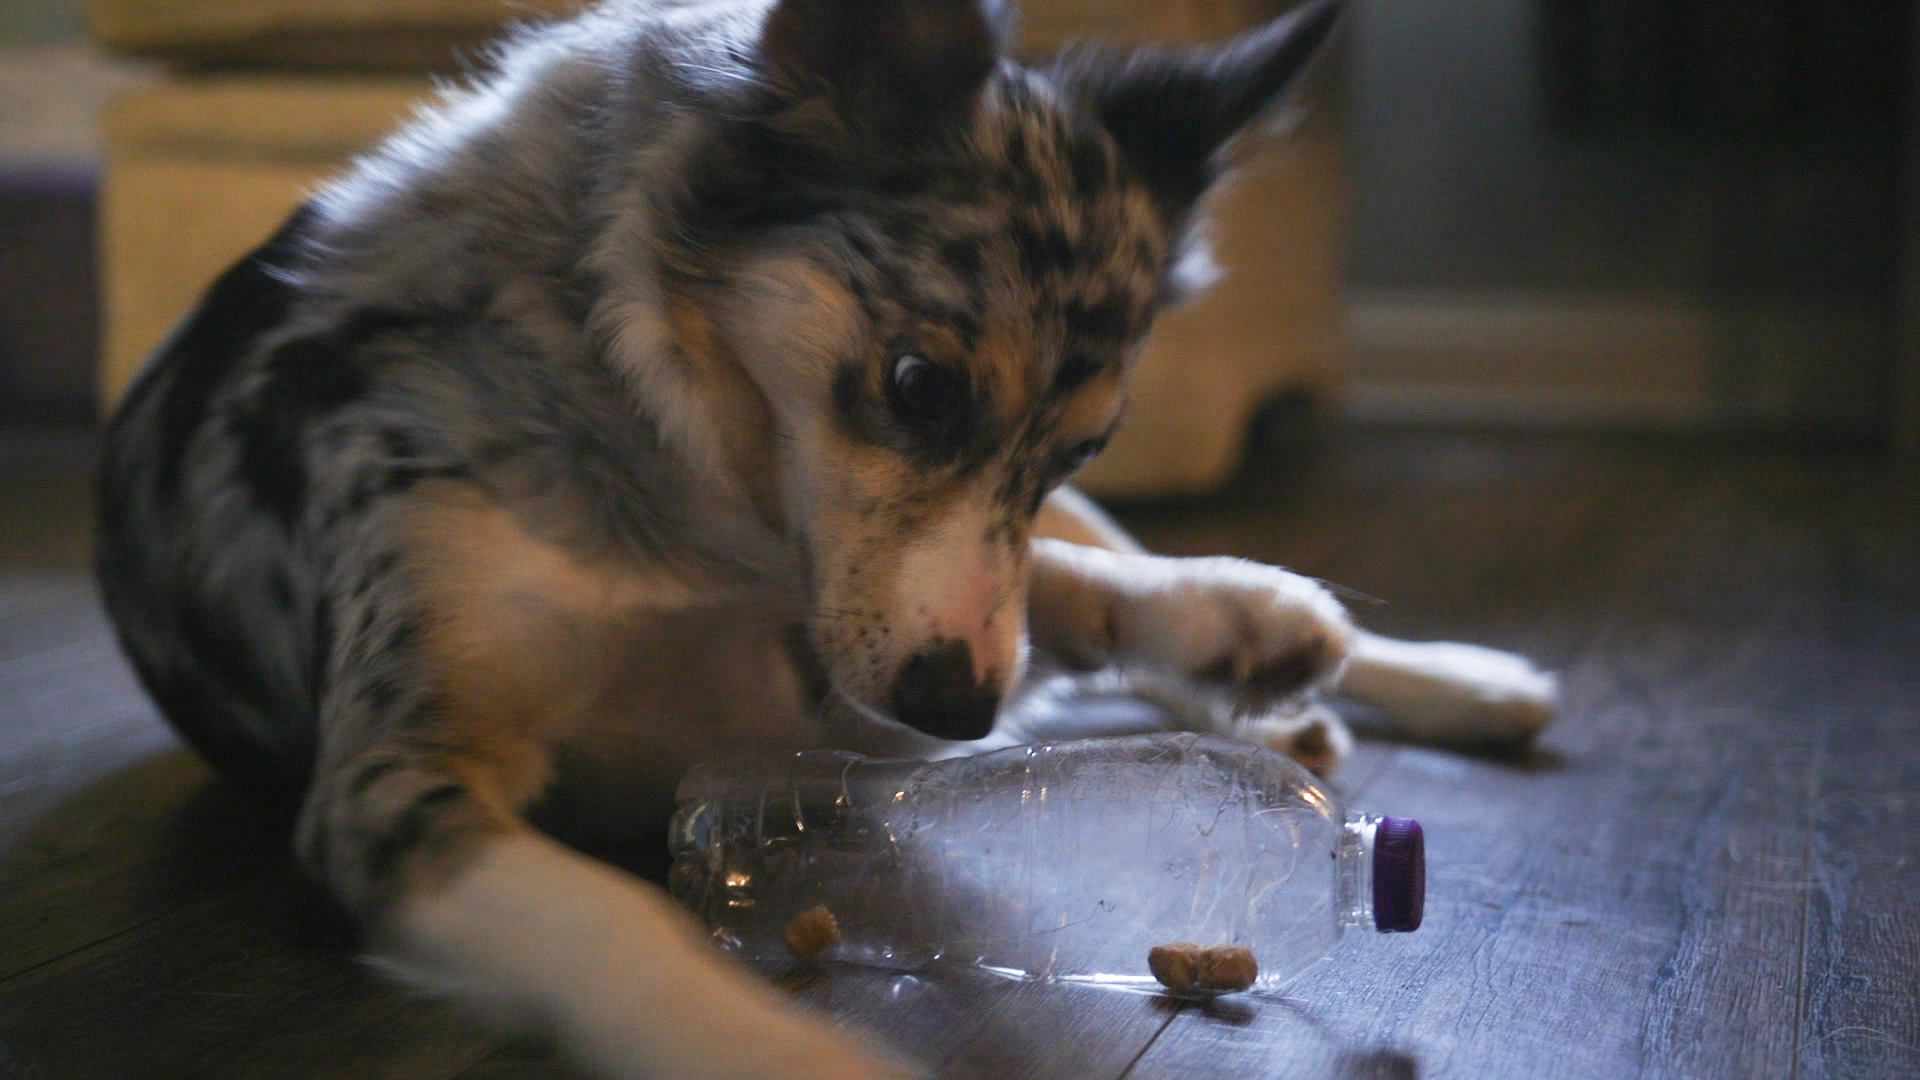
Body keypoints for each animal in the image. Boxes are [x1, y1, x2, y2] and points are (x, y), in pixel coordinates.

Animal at [93, 4, 1559, 1068]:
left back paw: (1379, 665)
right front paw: (780, 1050)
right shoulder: (392, 788)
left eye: (1082, 441)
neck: (673, 465)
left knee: (1115, 580)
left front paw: (1242, 627)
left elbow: (1051, 588)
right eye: (918, 384)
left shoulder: (871, 629)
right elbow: (626, 922)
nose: (959, 717)